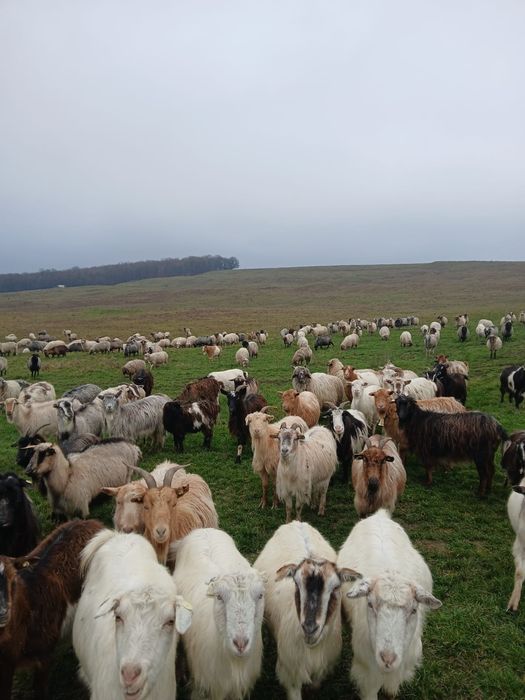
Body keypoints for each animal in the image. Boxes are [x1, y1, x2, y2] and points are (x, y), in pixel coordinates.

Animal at [172, 528, 265, 700]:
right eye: (219, 596)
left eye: (260, 595)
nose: (240, 643)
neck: (235, 663)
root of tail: (204, 530)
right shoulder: (203, 684)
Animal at [254, 521, 360, 700]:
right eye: (296, 584)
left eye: (335, 588)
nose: (310, 628)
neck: (312, 649)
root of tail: (296, 522)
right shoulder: (291, 672)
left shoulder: (323, 667)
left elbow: (314, 686)